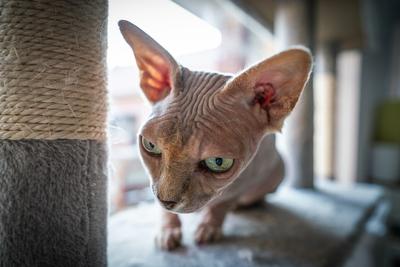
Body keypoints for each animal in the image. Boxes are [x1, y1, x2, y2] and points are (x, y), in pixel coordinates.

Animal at [118, 20, 312, 251]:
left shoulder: (246, 177)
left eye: (218, 162)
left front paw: (209, 226)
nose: (166, 200)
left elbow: (221, 204)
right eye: (150, 145)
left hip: (279, 167)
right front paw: (167, 229)